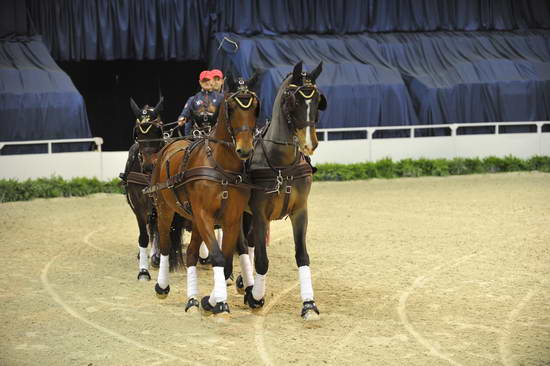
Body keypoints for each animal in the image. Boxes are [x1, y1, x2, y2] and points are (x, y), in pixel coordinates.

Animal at [123, 97, 188, 280]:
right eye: (137, 133)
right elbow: (144, 237)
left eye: (158, 131)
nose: (149, 165)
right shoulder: (138, 207)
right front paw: (143, 271)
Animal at [144, 75, 260, 318]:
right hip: (165, 209)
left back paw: (192, 299)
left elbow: (226, 259)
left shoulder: (231, 218)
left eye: (255, 107)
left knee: (190, 254)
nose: (244, 149)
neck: (221, 166)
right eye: (231, 107)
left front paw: (211, 300)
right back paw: (162, 286)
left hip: (194, 218)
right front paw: (220, 303)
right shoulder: (204, 215)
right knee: (166, 245)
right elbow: (216, 256)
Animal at [242, 61, 328, 318]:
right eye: (294, 101)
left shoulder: (300, 211)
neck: (281, 164)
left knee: (249, 241)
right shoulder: (260, 214)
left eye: (318, 100)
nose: (310, 144)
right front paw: (256, 297)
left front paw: (308, 304)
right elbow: (262, 260)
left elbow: (302, 256)